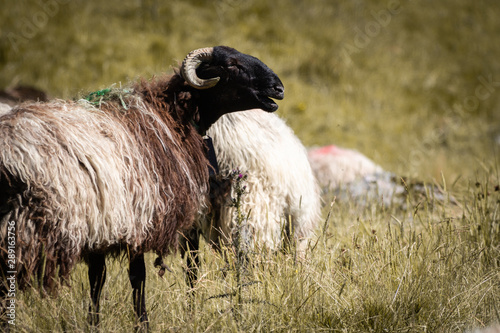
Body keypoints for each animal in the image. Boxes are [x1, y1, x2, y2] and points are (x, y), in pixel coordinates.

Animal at [0, 45, 284, 328]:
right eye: (231, 64)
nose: (278, 88)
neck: (172, 115)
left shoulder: (102, 224)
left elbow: (97, 280)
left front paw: (94, 323)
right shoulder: (137, 220)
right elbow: (137, 277)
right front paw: (142, 324)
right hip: (28, 224)